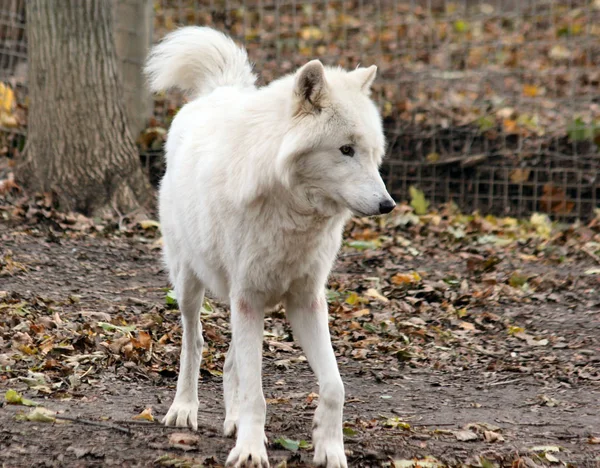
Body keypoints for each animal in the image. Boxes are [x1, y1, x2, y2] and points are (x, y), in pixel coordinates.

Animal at [146, 26, 394, 468]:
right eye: (345, 150)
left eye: (371, 153)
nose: (388, 205)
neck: (293, 210)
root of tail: (219, 90)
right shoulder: (248, 298)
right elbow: (256, 393)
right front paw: (249, 450)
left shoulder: (306, 301)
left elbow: (334, 387)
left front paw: (330, 449)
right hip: (189, 284)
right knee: (194, 343)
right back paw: (184, 410)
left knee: (230, 361)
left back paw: (231, 421)